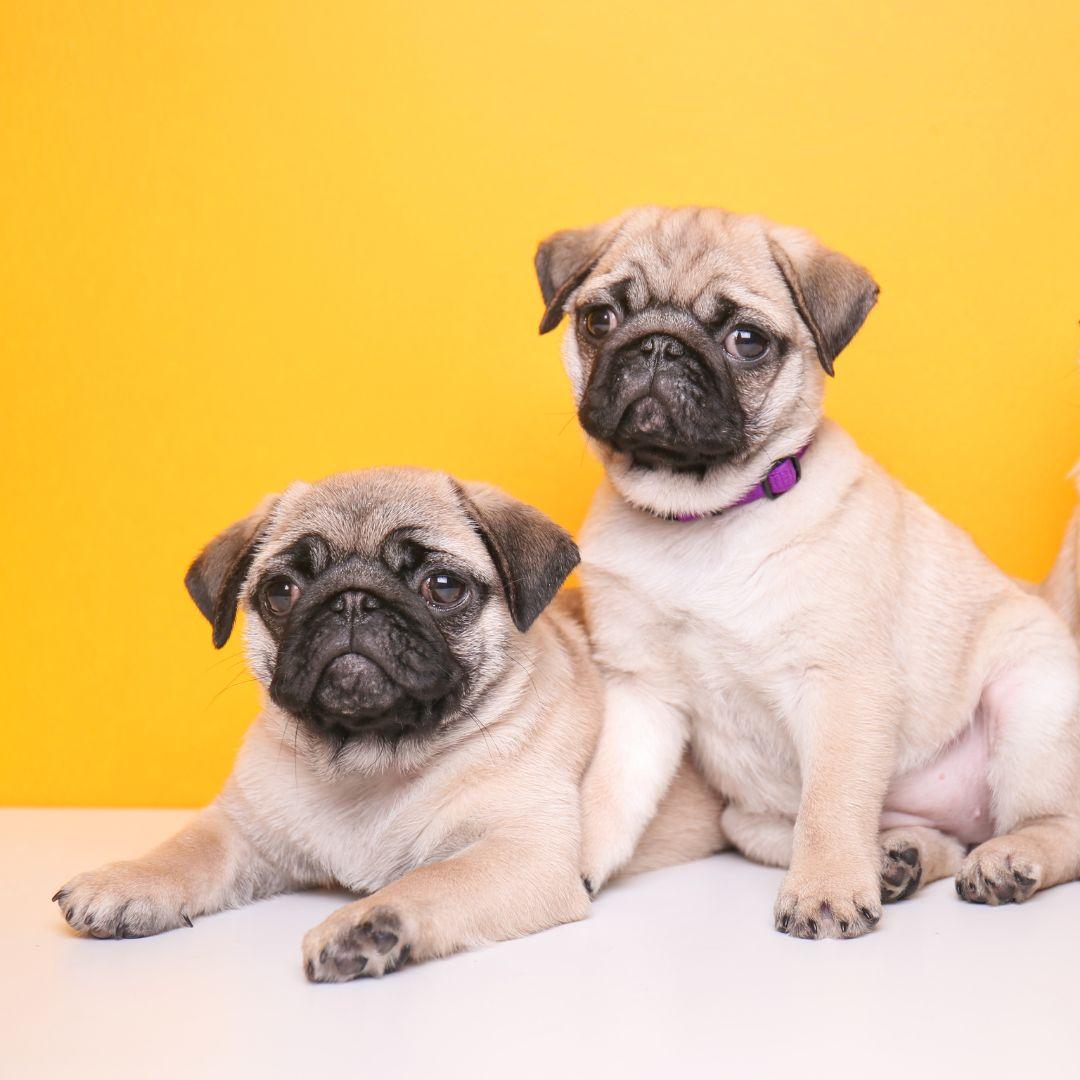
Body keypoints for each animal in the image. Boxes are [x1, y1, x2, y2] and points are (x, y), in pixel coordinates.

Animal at [52, 470, 725, 980]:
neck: (372, 757)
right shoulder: (242, 829)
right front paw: (128, 881)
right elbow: (187, 848)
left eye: (442, 586)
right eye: (282, 590)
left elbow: (434, 880)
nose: (352, 599)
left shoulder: (523, 854)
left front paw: (369, 925)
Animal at [535, 204, 1080, 937]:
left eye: (746, 341)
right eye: (600, 319)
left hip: (1031, 704)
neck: (704, 516)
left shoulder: (842, 684)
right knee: (911, 835)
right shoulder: (640, 692)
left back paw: (1007, 859)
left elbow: (831, 806)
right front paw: (572, 870)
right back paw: (899, 857)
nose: (658, 346)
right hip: (748, 818)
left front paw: (825, 892)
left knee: (1056, 824)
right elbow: (607, 794)